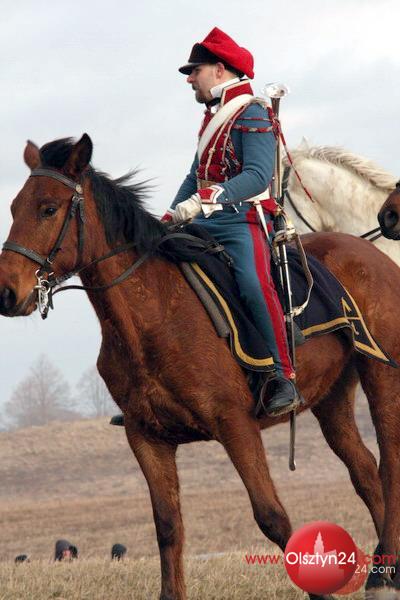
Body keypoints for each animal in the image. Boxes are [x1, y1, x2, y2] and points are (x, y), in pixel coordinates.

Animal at [1, 134, 400, 600]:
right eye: (14, 208)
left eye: (48, 208)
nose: (7, 292)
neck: (152, 315)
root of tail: (371, 252)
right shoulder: (146, 438)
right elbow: (168, 527)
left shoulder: (236, 425)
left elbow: (272, 516)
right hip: (332, 398)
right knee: (366, 473)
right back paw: (383, 574)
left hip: (381, 375)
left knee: (389, 465)